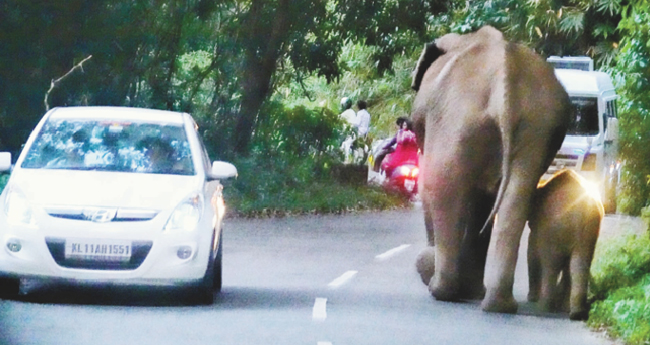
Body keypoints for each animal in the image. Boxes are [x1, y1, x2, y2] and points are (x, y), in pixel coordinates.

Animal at [410, 25, 568, 314]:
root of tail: (505, 84)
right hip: (535, 126)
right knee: (516, 198)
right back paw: (498, 304)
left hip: (458, 119)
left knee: (442, 187)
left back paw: (440, 288)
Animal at [528, 169, 604, 320]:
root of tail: (581, 211)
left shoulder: (539, 228)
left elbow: (532, 254)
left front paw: (531, 299)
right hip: (588, 232)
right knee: (578, 263)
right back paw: (574, 312)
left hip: (554, 230)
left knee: (551, 264)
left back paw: (544, 307)